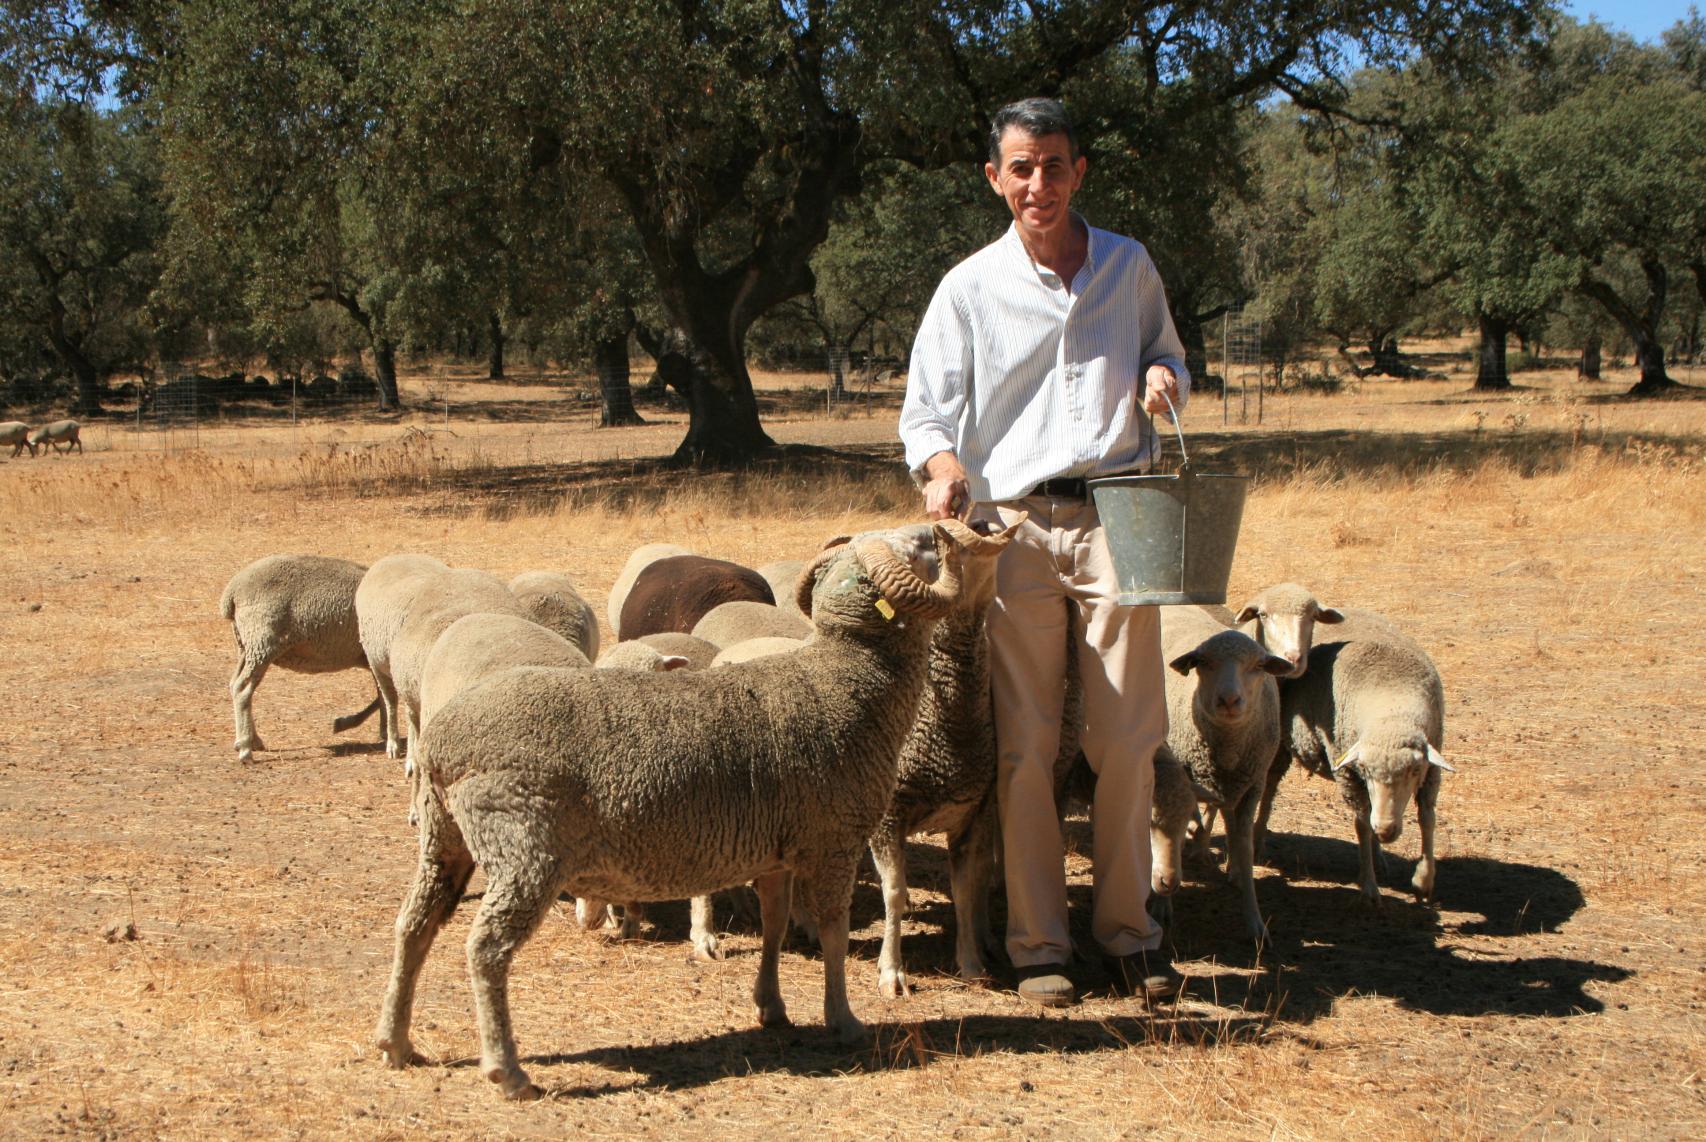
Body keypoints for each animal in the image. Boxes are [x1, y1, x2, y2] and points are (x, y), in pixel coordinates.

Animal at [219, 554, 382, 763]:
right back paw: (246, 748)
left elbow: (382, 697)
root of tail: (232, 593)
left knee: (234, 684)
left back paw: (252, 740)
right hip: (262, 642)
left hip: (246, 646)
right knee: (242, 689)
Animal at [1160, 606, 1292, 941]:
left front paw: (1256, 921)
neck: (1228, 744)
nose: (1229, 701)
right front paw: (1163, 908)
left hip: (1234, 784)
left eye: (1258, 666)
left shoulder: (1253, 785)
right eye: (1204, 663)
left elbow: (1245, 846)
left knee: (1227, 818)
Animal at [1258, 607, 1451, 904]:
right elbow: (1361, 823)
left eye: (1414, 771)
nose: (1386, 830)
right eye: (1367, 770)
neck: (1392, 709)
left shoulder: (1431, 770)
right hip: (1279, 741)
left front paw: (1424, 880)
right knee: (1268, 787)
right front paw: (1369, 885)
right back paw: (1257, 839)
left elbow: (1427, 819)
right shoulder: (1348, 771)